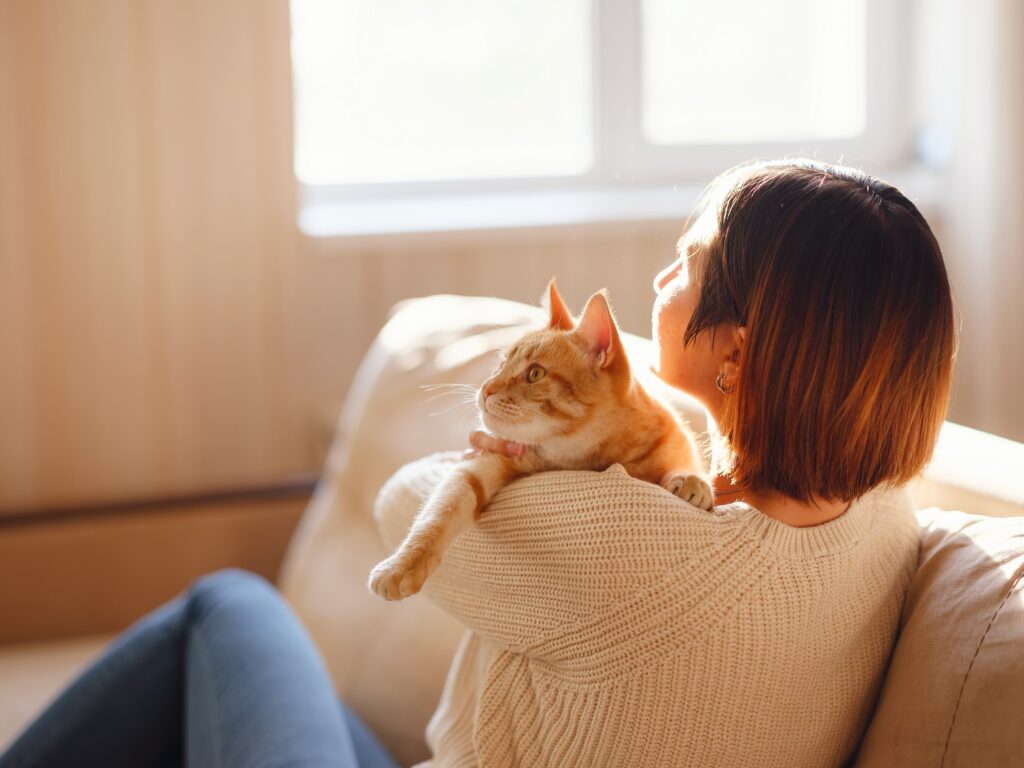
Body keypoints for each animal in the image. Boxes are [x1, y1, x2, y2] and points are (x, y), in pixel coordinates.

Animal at [368, 280, 712, 606]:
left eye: (535, 374)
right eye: (501, 363)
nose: (485, 388)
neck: (577, 456)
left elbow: (683, 464)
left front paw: (691, 480)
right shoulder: (482, 464)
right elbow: (437, 514)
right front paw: (402, 565)